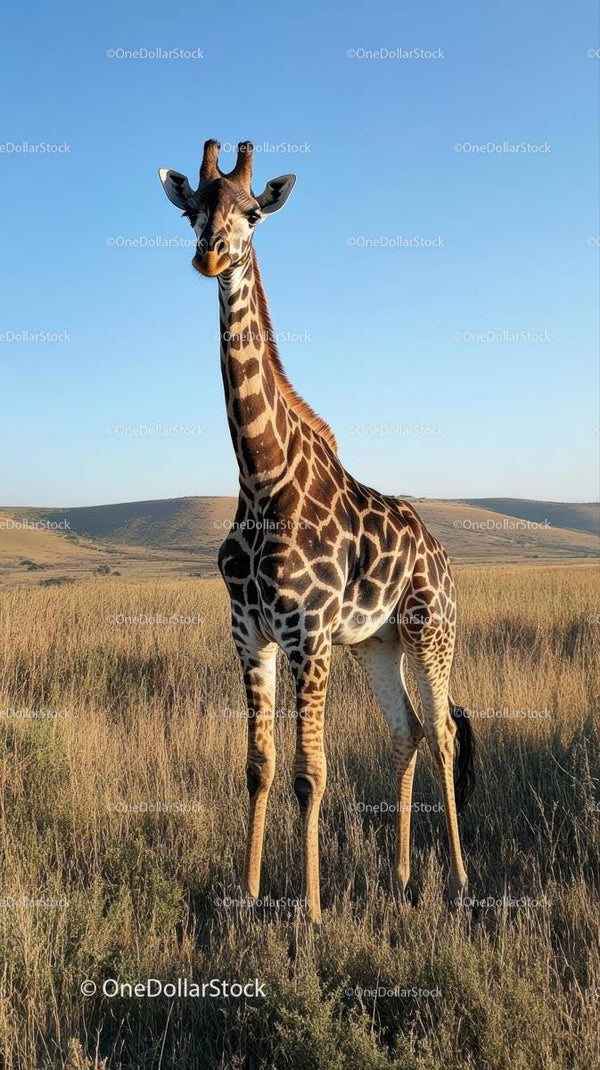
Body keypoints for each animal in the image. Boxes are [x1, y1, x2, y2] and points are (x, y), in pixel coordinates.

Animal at [159, 140, 475, 924]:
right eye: (191, 209)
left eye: (252, 213)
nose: (210, 255)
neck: (261, 477)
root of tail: (444, 555)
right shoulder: (250, 631)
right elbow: (258, 767)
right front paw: (247, 893)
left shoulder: (308, 632)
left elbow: (310, 773)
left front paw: (309, 910)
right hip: (375, 644)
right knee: (408, 731)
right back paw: (401, 876)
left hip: (430, 631)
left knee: (445, 733)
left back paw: (459, 880)